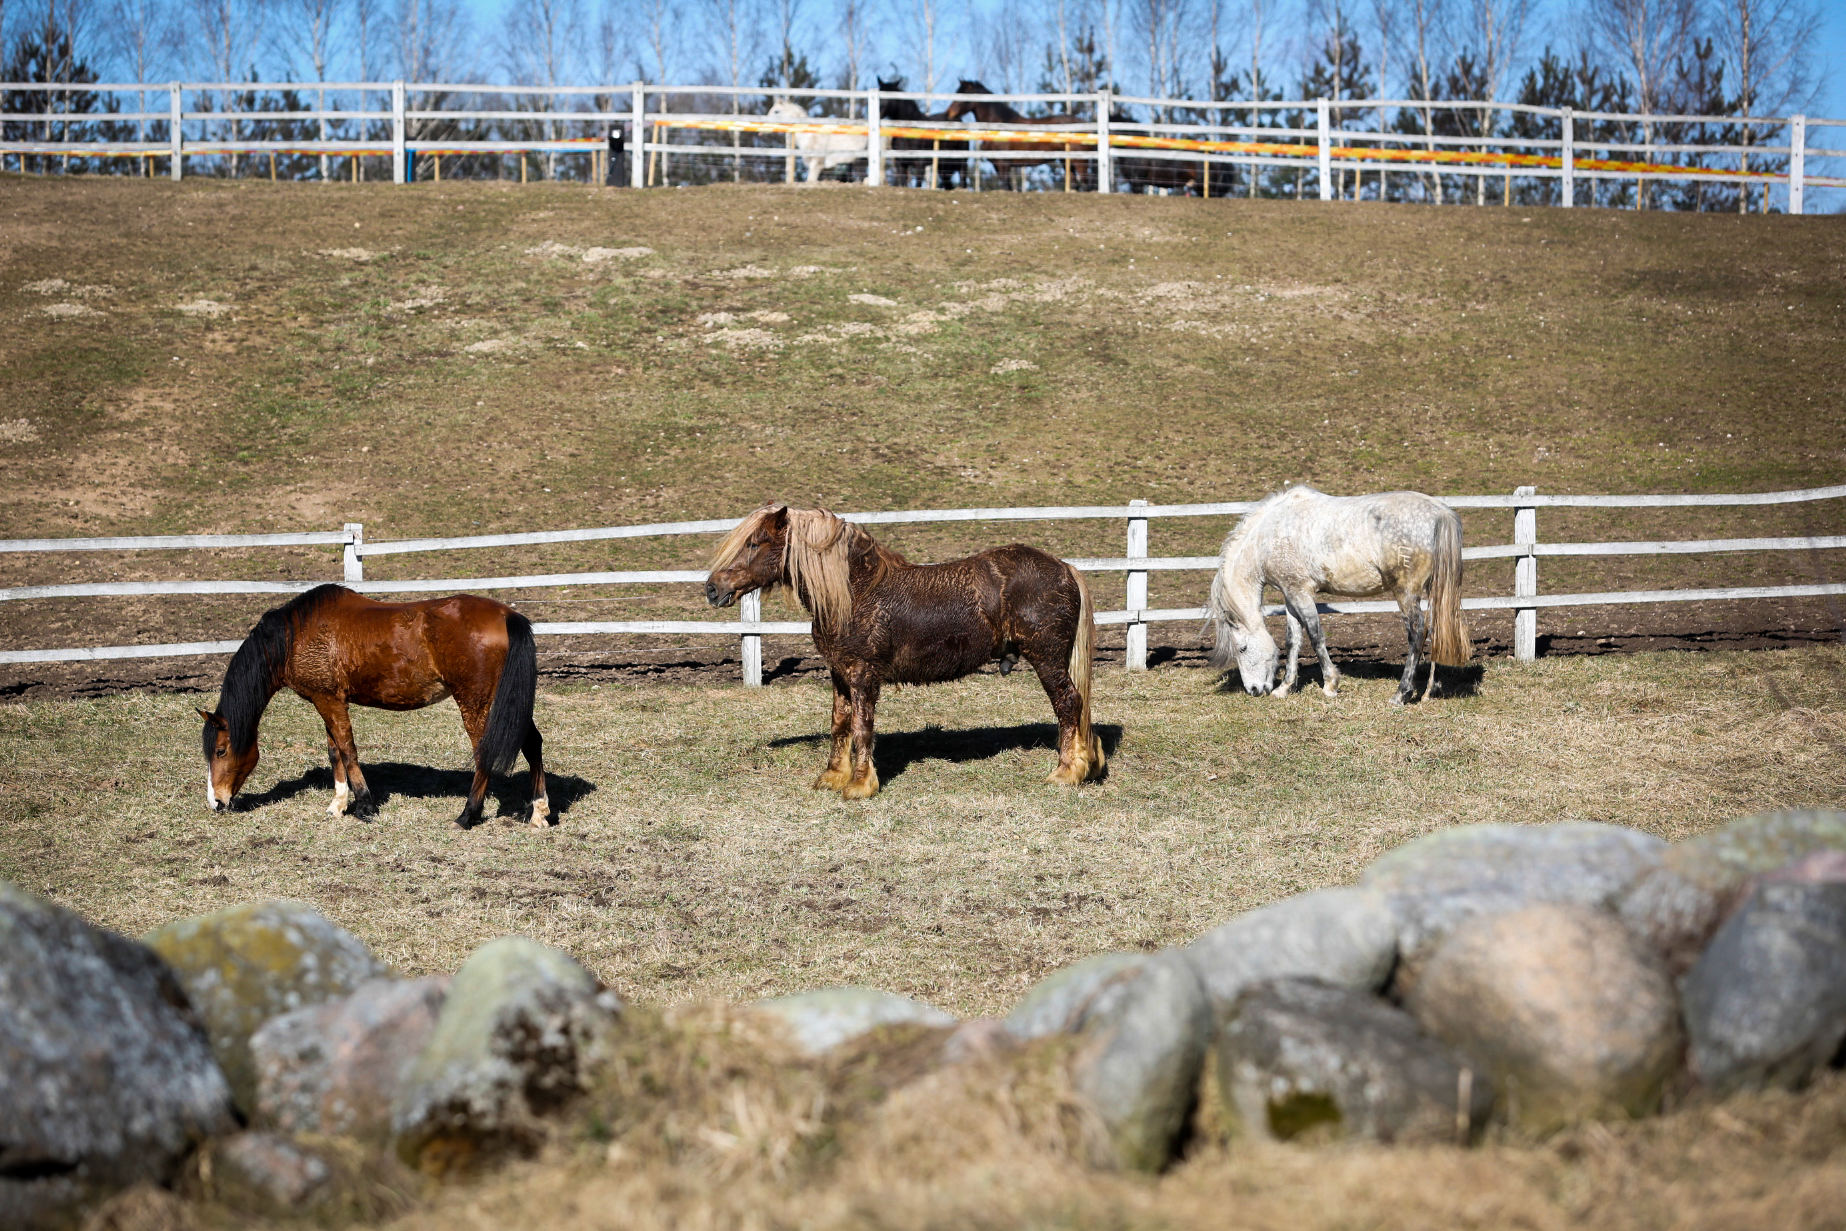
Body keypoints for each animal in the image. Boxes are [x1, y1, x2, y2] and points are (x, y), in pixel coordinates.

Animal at [202, 586, 550, 826]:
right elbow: (334, 751)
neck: (294, 635)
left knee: (484, 752)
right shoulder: (326, 700)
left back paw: (468, 815)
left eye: (220, 750)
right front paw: (338, 804)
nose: (216, 801)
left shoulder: (329, 701)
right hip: (508, 703)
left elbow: (347, 750)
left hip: (477, 703)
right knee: (532, 743)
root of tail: (506, 615)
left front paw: (365, 805)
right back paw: (538, 810)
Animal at [697, 509, 1100, 804]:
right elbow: (839, 724)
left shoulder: (863, 675)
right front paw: (832, 777)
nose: (712, 589)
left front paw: (860, 785)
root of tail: (1065, 568)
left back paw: (1066, 773)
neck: (855, 592)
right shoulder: (839, 673)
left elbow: (862, 728)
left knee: (1068, 704)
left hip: (1047, 659)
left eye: (754, 542)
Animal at [1210, 487, 1469, 708]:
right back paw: (1427, 692)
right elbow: (1293, 640)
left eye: (1242, 649)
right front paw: (1285, 687)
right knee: (1435, 630)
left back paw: (1401, 694)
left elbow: (1315, 635)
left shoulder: (1301, 593)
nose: (1253, 689)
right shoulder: (1290, 594)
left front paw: (1330, 684)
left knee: (1417, 632)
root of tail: (1440, 512)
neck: (1270, 535)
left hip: (1406, 593)